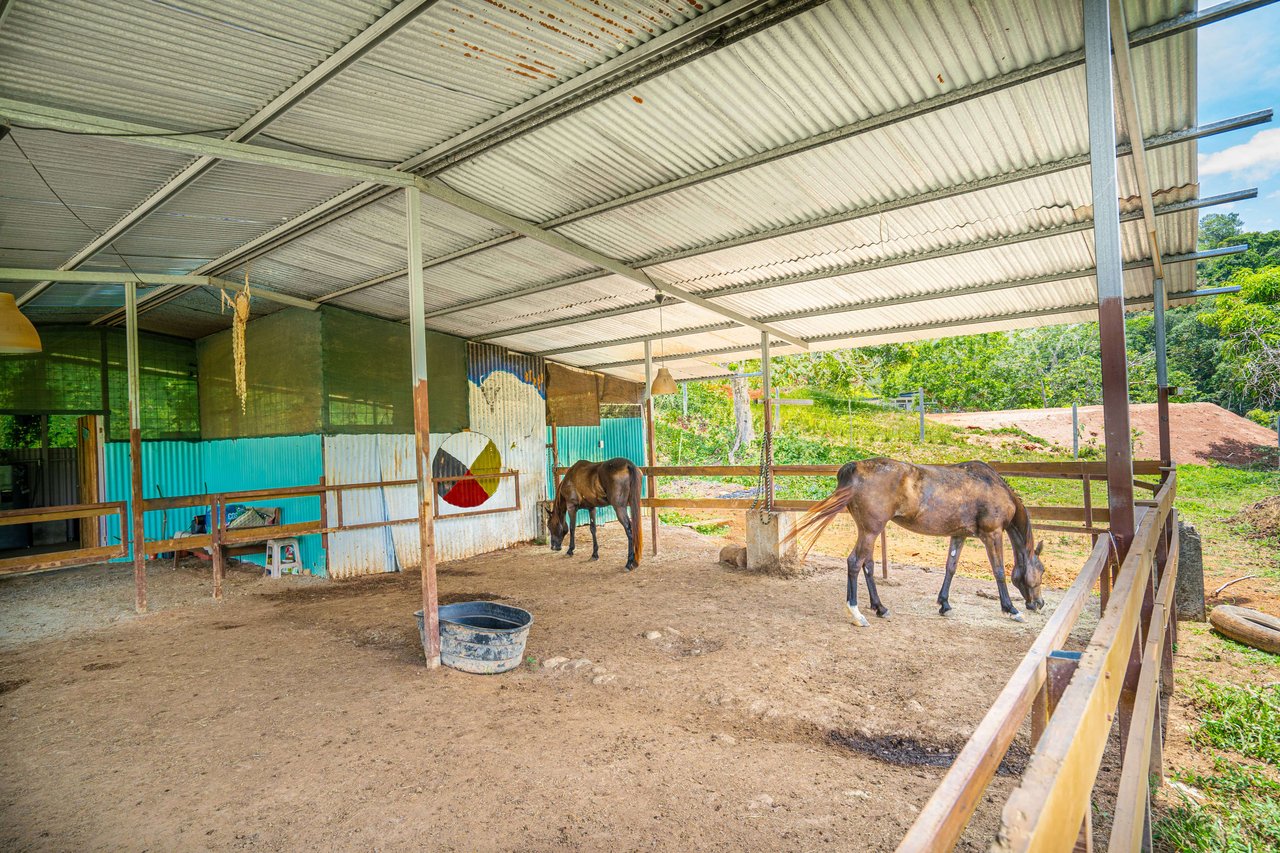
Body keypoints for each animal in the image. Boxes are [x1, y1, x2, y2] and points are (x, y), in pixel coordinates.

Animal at [788, 458, 1049, 625]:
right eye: (1042, 570)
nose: (1039, 603)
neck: (992, 486)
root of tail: (857, 467)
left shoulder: (959, 535)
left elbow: (951, 567)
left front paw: (944, 603)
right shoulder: (992, 534)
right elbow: (998, 571)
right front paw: (1011, 609)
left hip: (868, 531)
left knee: (867, 565)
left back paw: (880, 607)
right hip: (871, 531)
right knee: (854, 562)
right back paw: (856, 613)